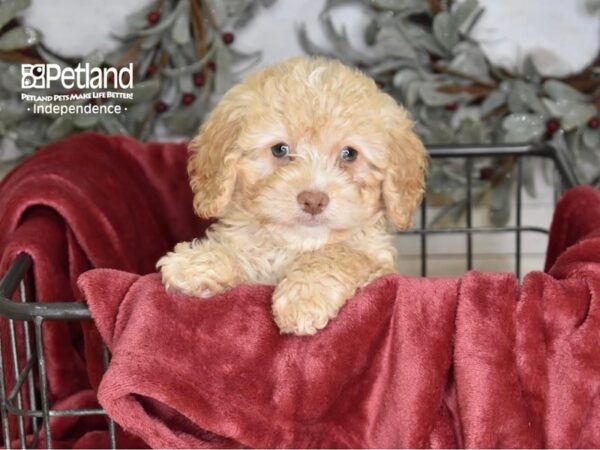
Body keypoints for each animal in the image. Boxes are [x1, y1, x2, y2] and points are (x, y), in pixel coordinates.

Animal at [156, 56, 426, 336]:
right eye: (280, 149)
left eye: (349, 154)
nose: (313, 200)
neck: (295, 245)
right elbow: (242, 250)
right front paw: (198, 262)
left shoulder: (377, 259)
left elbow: (340, 254)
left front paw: (305, 295)